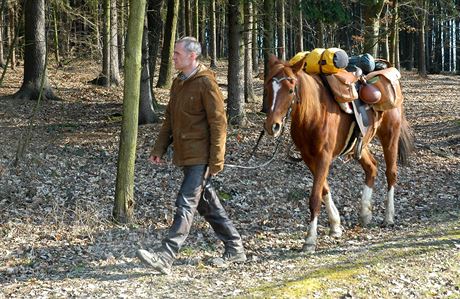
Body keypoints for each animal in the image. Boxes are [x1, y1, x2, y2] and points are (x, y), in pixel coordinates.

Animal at [262, 55, 414, 252]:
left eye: (289, 90)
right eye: (267, 88)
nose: (272, 126)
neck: (314, 112)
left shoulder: (324, 157)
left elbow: (315, 197)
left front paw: (310, 239)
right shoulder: (309, 158)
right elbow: (324, 189)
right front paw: (335, 225)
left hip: (390, 135)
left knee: (391, 173)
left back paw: (388, 217)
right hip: (360, 144)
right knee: (372, 168)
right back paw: (365, 213)